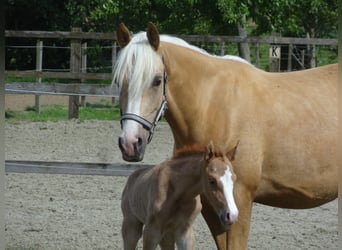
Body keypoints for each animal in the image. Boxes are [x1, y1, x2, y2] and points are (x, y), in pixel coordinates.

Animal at [113, 22, 338, 249]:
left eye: (157, 81)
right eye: (118, 82)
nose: (130, 143)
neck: (213, 105)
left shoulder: (239, 199)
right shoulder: (212, 204)